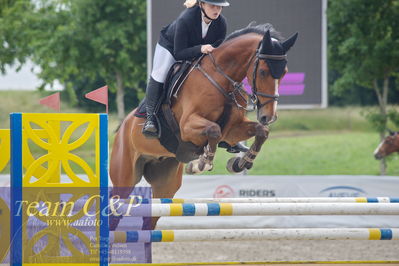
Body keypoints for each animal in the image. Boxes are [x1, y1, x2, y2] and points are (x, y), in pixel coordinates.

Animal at [109, 23, 296, 229]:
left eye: (284, 72)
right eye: (263, 71)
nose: (268, 116)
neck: (221, 80)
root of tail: (123, 127)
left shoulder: (232, 131)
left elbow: (261, 131)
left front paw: (241, 162)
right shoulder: (187, 126)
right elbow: (214, 130)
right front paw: (201, 164)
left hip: (165, 183)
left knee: (151, 217)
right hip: (124, 177)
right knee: (114, 210)